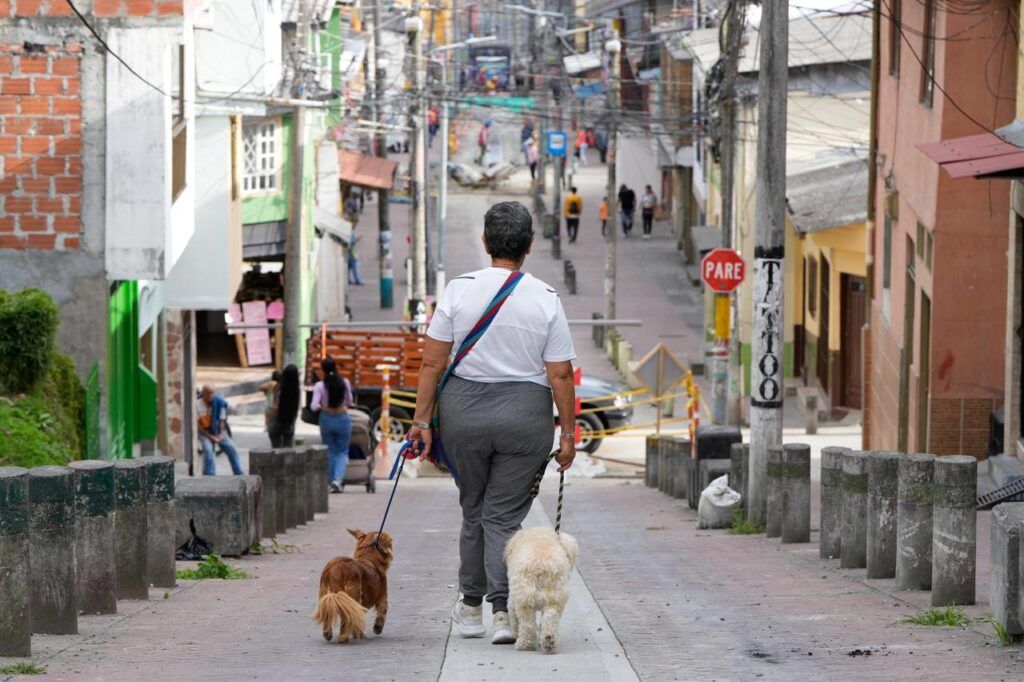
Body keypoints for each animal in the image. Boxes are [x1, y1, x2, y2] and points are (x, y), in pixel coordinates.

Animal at [501, 522, 577, 651]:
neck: (540, 537)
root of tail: (541, 564)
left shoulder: (512, 599)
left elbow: (513, 617)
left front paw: (515, 631)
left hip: (524, 600)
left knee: (527, 624)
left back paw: (524, 644)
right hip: (554, 598)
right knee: (550, 618)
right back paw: (548, 640)